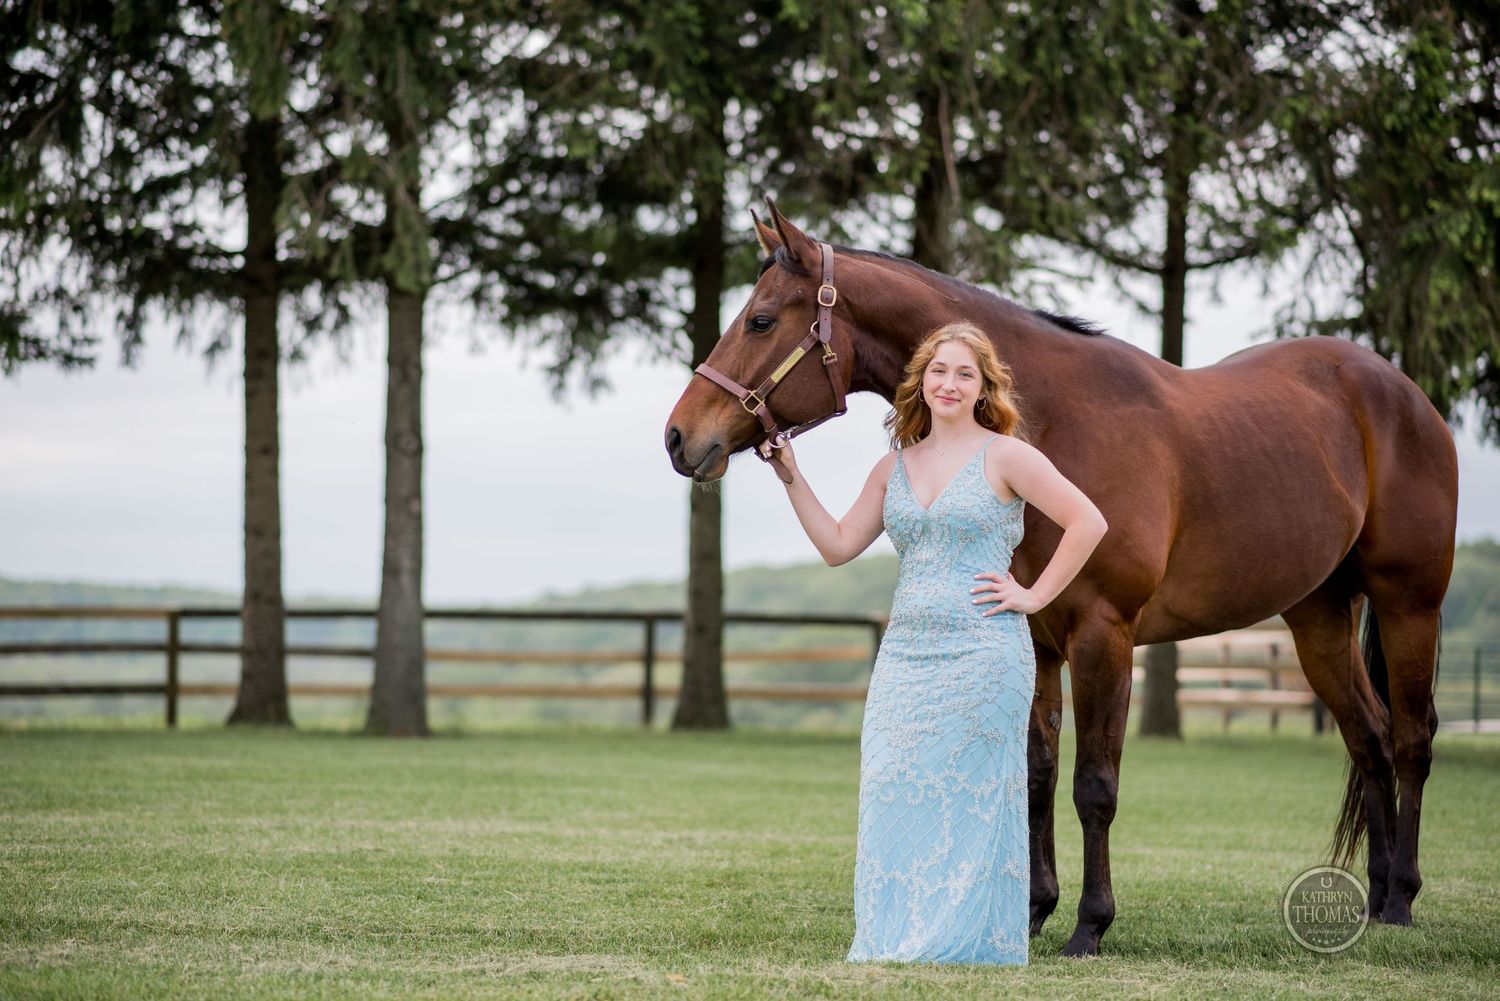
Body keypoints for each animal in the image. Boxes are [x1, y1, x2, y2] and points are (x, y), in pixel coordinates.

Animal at [663, 199, 1456, 957]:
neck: (1049, 422)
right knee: (1368, 738)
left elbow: (1093, 786)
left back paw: (1405, 897)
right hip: (1318, 614)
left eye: (761, 320)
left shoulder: (1103, 635)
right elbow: (1037, 773)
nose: (678, 437)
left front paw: (1090, 925)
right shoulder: (1037, 637)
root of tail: (1405, 392)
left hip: (1408, 603)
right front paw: (1033, 910)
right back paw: (1375, 899)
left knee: (1411, 738)